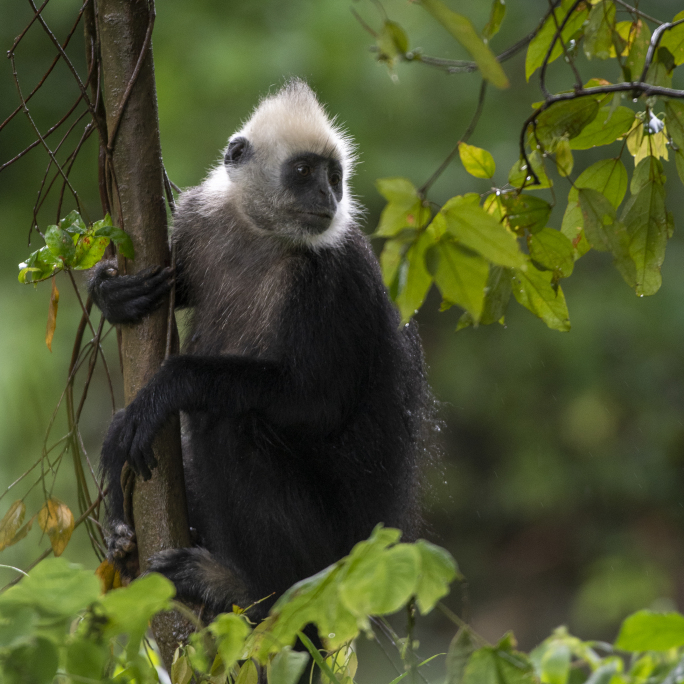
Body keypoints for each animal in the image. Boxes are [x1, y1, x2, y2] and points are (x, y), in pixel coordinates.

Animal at [91, 80, 432, 624]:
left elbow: (317, 403)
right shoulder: (201, 219)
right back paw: (127, 541)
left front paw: (163, 391)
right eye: (304, 172)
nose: (329, 196)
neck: (264, 237)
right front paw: (111, 293)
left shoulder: (328, 279)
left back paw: (246, 587)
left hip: (325, 557)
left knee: (233, 425)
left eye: (334, 177)